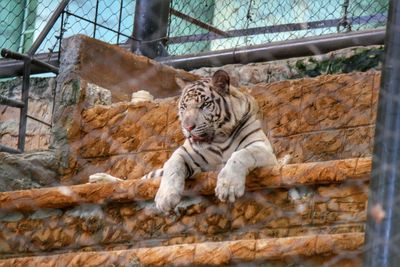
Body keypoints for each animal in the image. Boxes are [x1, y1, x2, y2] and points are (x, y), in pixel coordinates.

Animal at [90, 70, 288, 214]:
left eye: (204, 105)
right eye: (184, 107)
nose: (188, 127)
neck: (219, 138)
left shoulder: (262, 148)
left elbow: (240, 155)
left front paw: (228, 186)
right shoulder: (185, 153)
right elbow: (173, 166)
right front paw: (165, 197)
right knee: (141, 178)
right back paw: (99, 179)